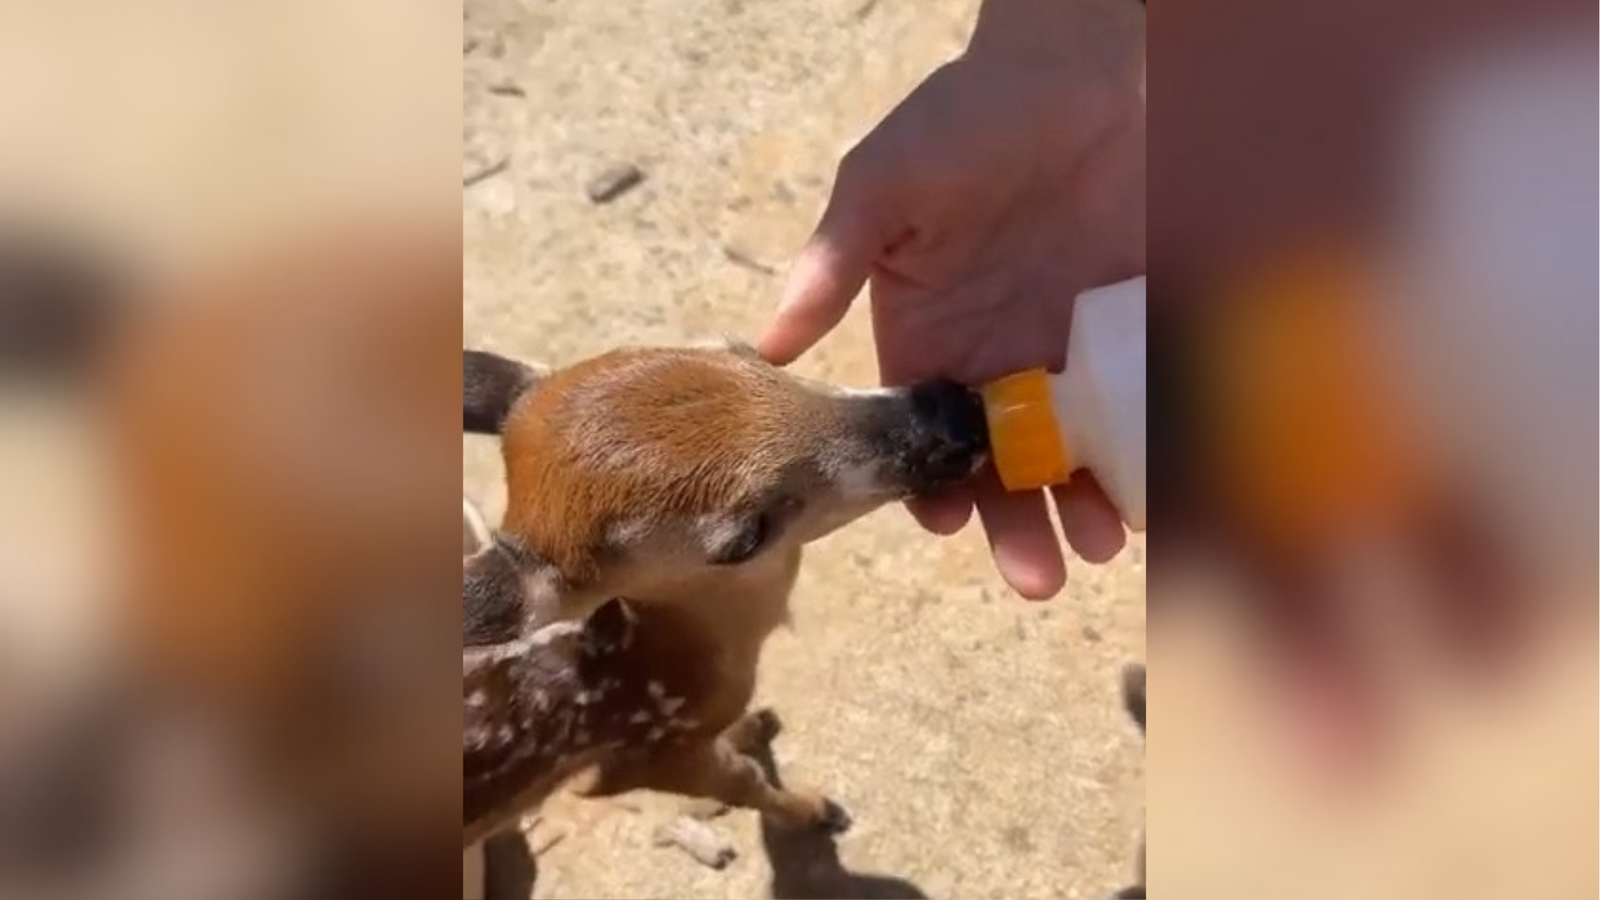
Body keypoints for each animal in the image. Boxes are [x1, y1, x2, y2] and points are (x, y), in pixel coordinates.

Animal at [459, 343, 990, 862]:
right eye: (745, 538)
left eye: (745, 350)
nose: (954, 416)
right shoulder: (650, 752)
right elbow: (743, 782)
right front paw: (817, 811)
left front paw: (755, 724)